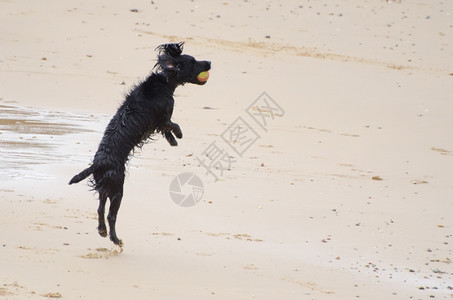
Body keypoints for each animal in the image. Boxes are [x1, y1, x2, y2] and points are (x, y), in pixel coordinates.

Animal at [69, 42, 210, 246]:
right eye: (192, 61)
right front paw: (179, 135)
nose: (209, 63)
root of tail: (97, 164)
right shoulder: (164, 116)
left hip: (105, 187)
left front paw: (173, 140)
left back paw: (103, 231)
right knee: (111, 215)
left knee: (100, 209)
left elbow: (167, 130)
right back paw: (115, 239)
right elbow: (173, 125)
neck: (165, 81)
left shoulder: (160, 122)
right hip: (118, 189)